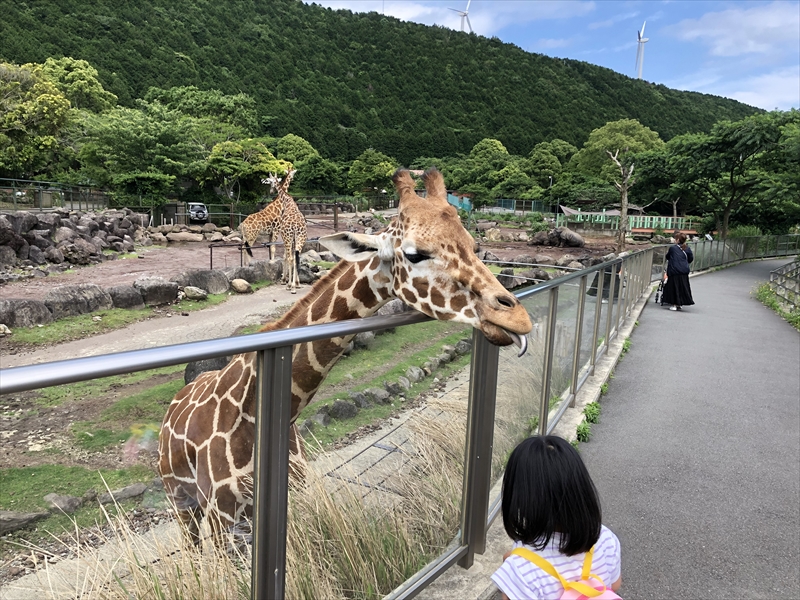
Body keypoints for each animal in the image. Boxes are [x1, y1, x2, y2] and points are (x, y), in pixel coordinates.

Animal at [157, 166, 536, 548]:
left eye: (474, 246)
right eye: (415, 254)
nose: (518, 318)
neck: (256, 412)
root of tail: (173, 404)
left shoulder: (287, 496)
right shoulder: (224, 518)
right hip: (182, 502)